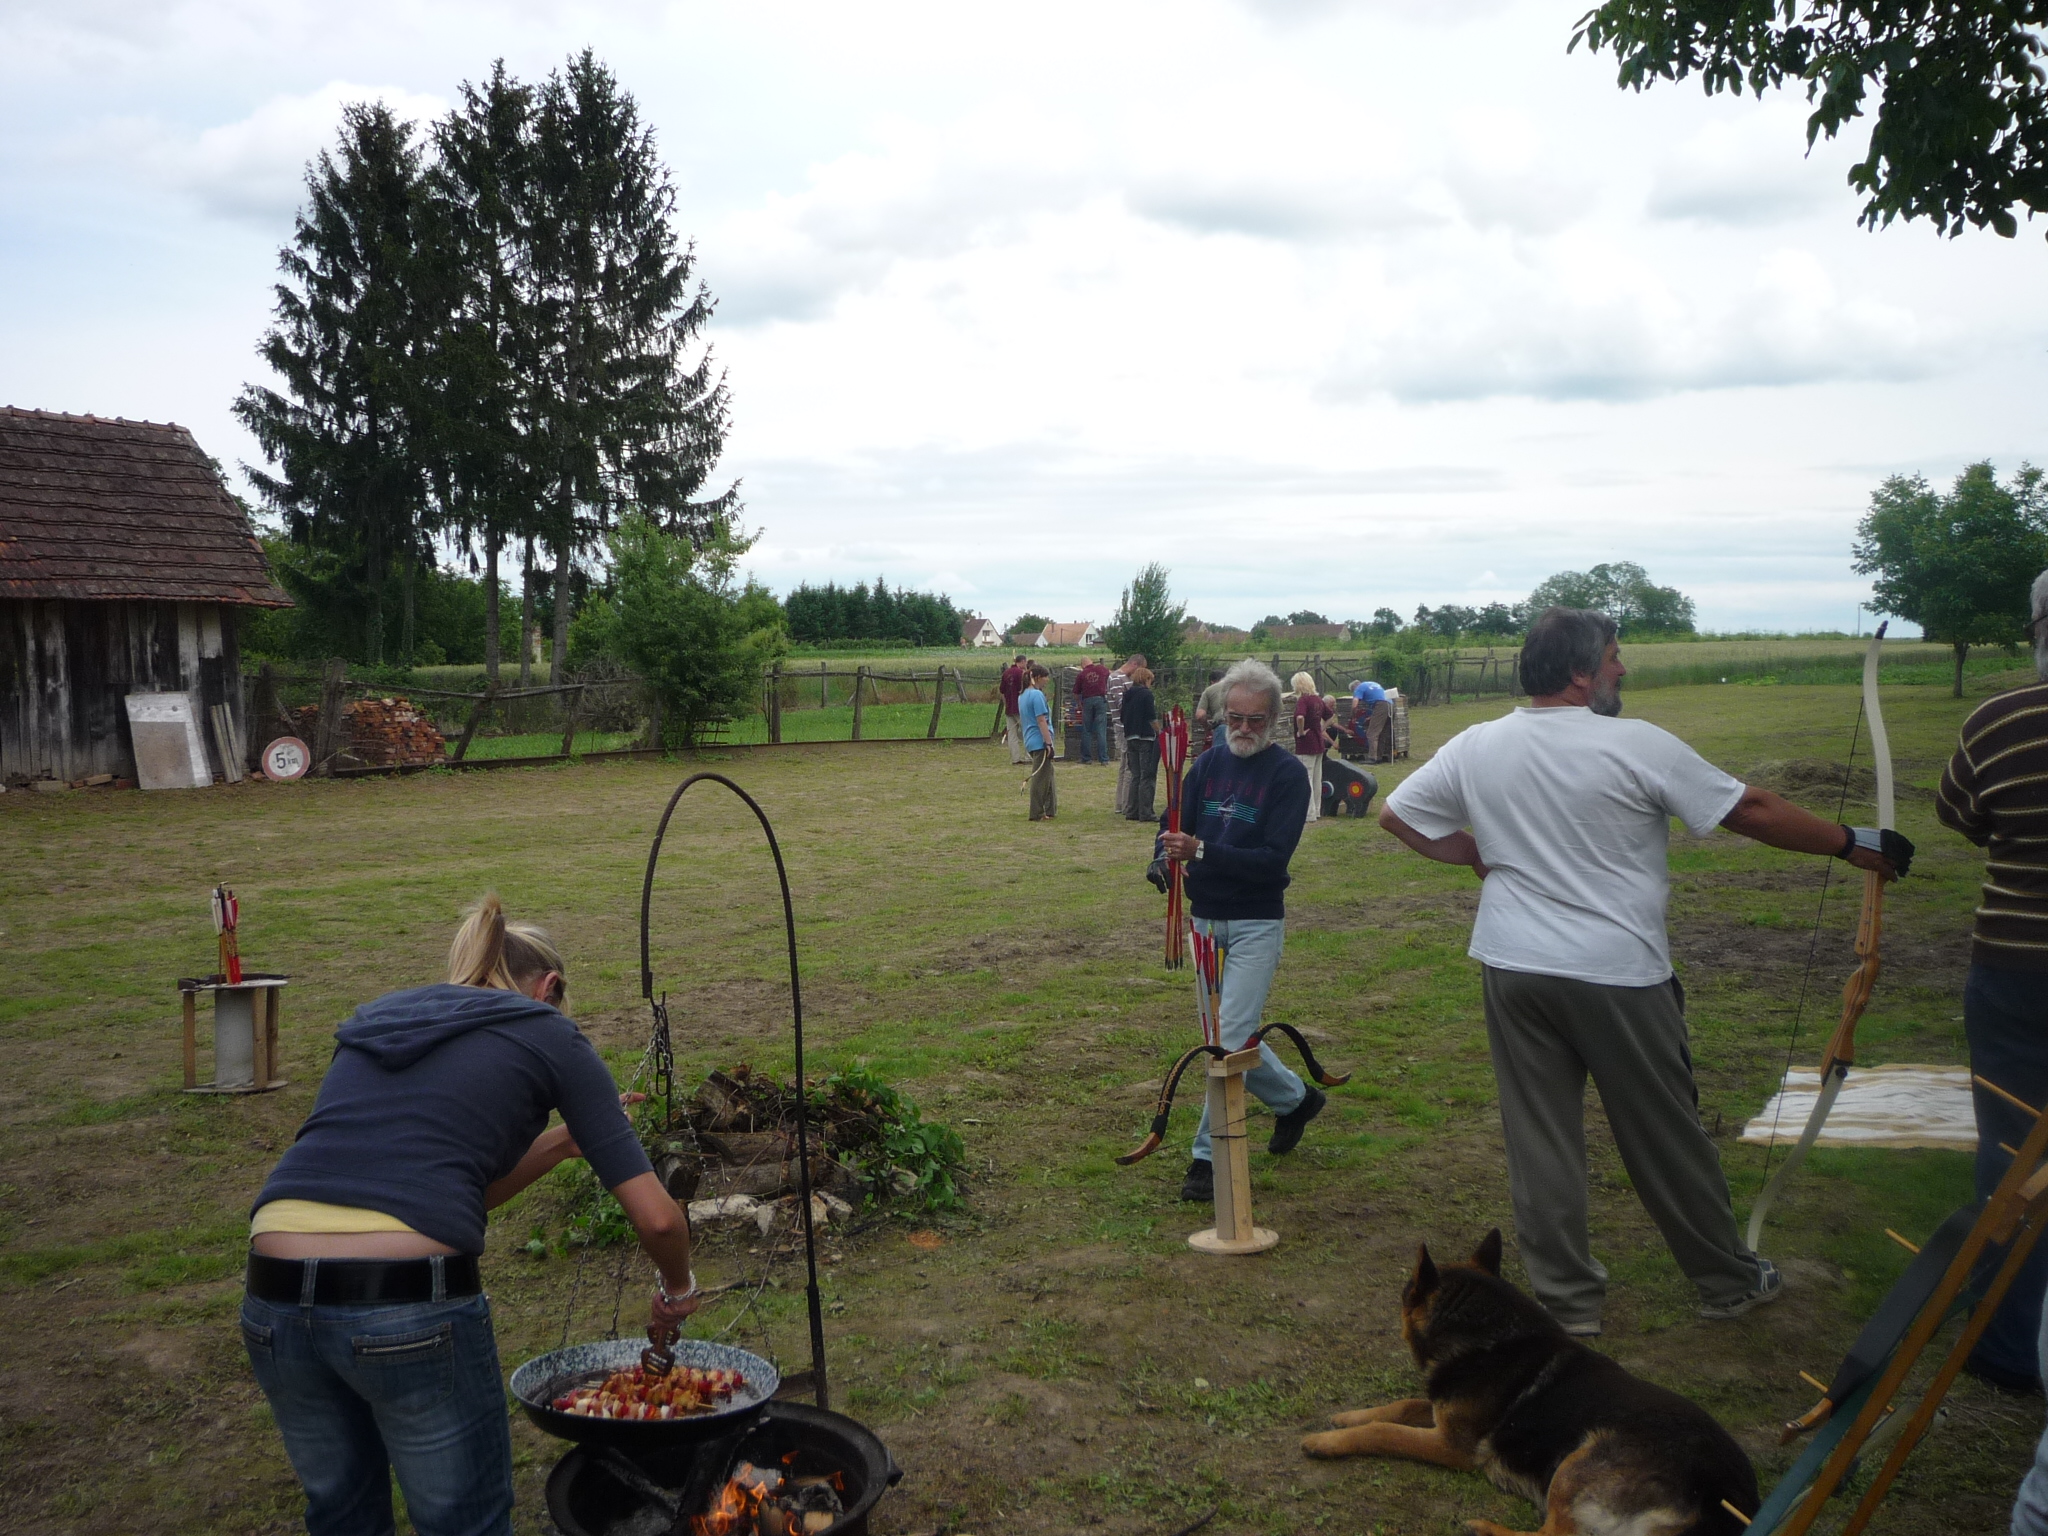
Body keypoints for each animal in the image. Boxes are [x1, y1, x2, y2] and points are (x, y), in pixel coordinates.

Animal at [1302, 1230, 1758, 1536]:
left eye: (1404, 1294)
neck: (1489, 1336)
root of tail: (1721, 1498)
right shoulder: (1441, 1411)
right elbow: (1401, 1407)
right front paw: (1348, 1416)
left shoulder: (1452, 1446)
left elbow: (1384, 1431)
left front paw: (1326, 1441)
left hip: (1577, 1462)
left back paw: (1485, 1529)